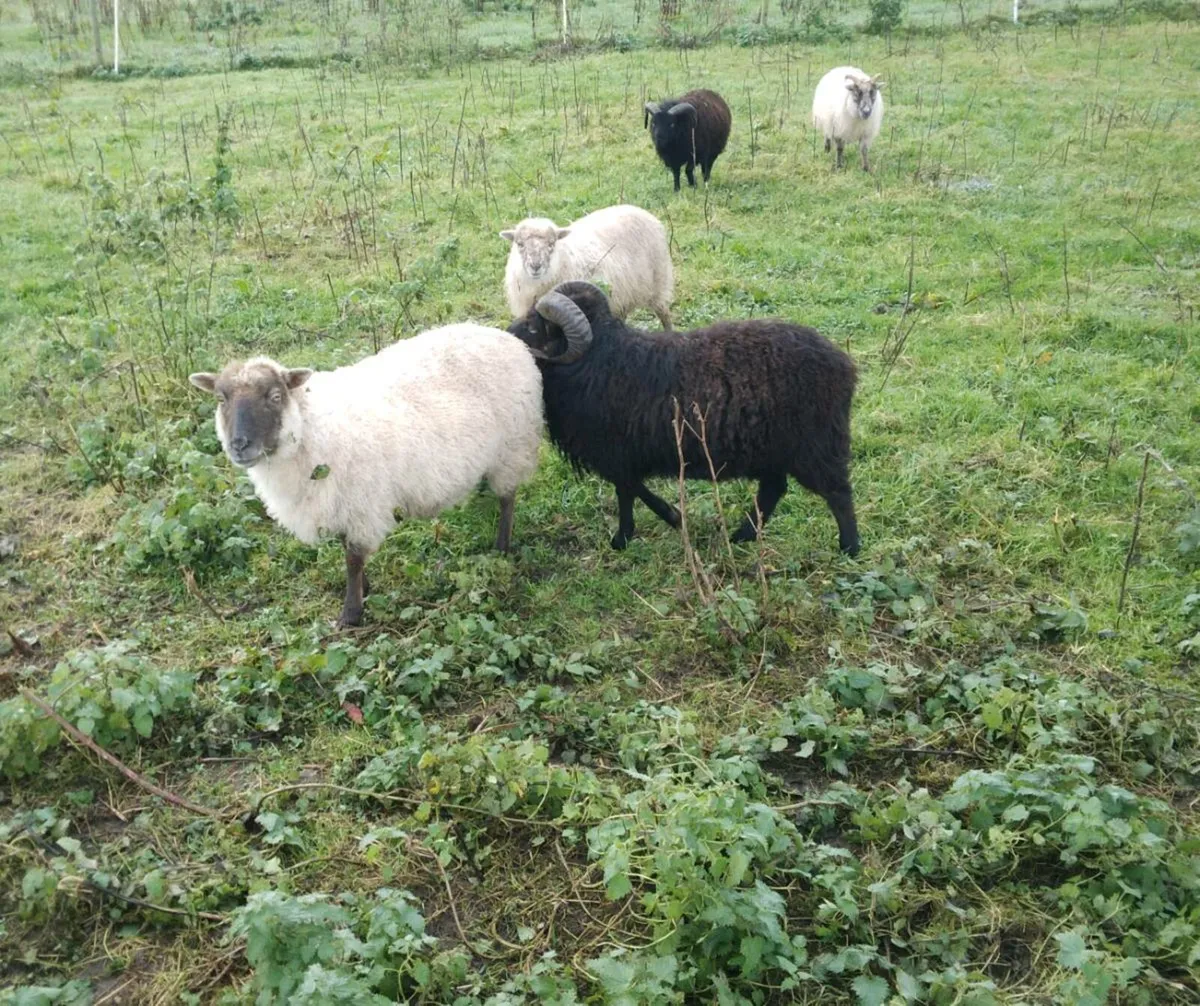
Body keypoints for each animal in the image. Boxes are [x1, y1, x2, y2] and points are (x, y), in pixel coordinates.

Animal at [188, 327, 543, 627]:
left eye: (275, 397)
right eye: (221, 399)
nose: (239, 445)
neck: (310, 427)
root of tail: (503, 335)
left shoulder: (361, 504)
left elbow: (353, 559)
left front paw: (351, 614)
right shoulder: (339, 502)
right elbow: (346, 549)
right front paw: (364, 590)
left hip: (513, 447)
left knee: (507, 498)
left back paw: (501, 546)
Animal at [500, 204, 674, 330]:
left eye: (551, 244)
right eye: (519, 244)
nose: (535, 266)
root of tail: (640, 210)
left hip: (658, 281)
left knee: (664, 313)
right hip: (623, 293)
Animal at [507, 281, 859, 556]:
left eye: (534, 326)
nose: (507, 336)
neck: (595, 360)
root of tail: (844, 366)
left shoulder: (616, 453)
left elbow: (628, 491)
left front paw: (627, 536)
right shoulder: (622, 456)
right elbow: (633, 489)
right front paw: (666, 521)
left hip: (816, 446)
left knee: (838, 492)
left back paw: (850, 548)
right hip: (775, 451)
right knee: (773, 490)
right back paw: (742, 536)